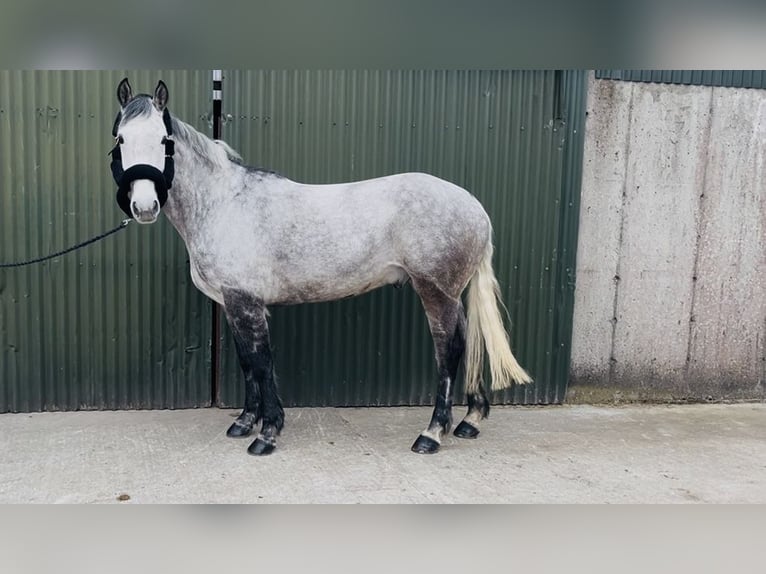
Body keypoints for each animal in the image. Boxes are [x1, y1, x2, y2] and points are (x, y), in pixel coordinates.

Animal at [109, 78, 532, 456]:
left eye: (164, 141)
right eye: (121, 140)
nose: (143, 207)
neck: (224, 204)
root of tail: (475, 208)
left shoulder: (247, 304)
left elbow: (262, 364)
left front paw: (267, 434)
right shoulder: (233, 304)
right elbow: (247, 362)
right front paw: (244, 422)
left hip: (436, 293)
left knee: (450, 350)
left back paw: (432, 434)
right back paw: (469, 421)